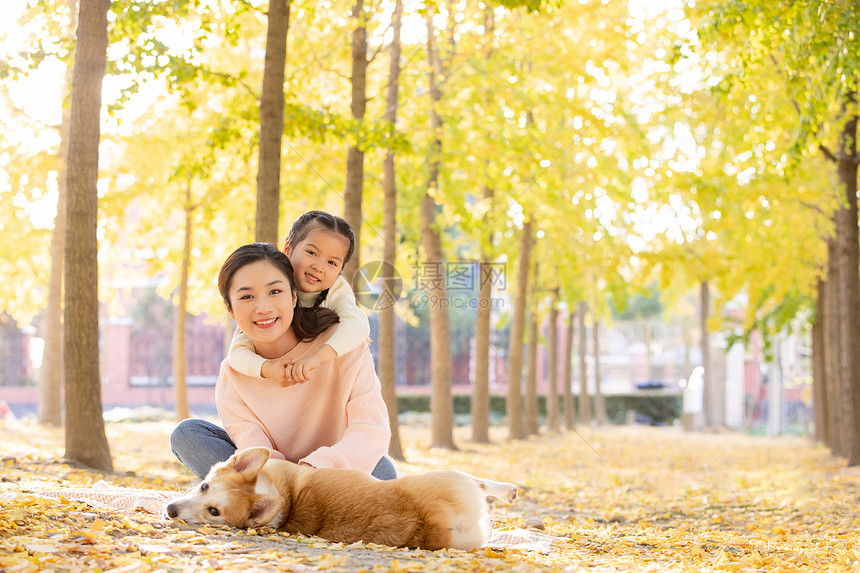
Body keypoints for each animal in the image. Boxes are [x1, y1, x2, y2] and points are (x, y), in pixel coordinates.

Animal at [166, 446, 516, 548]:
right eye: (205, 488)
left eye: (213, 510)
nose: (170, 509)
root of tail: (428, 518)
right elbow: (483, 484)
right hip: (450, 476)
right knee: (479, 482)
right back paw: (506, 490)